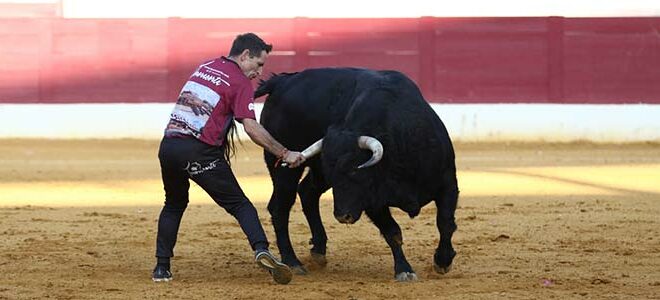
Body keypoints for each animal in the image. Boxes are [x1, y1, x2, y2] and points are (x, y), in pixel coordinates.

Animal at [254, 68, 458, 282]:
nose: (343, 216)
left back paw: (319, 250)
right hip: (284, 170)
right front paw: (404, 269)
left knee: (307, 192)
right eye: (334, 175)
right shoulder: (372, 201)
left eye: (353, 169)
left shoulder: (448, 183)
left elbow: (445, 223)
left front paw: (443, 262)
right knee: (280, 208)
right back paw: (293, 262)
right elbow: (392, 231)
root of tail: (282, 82)